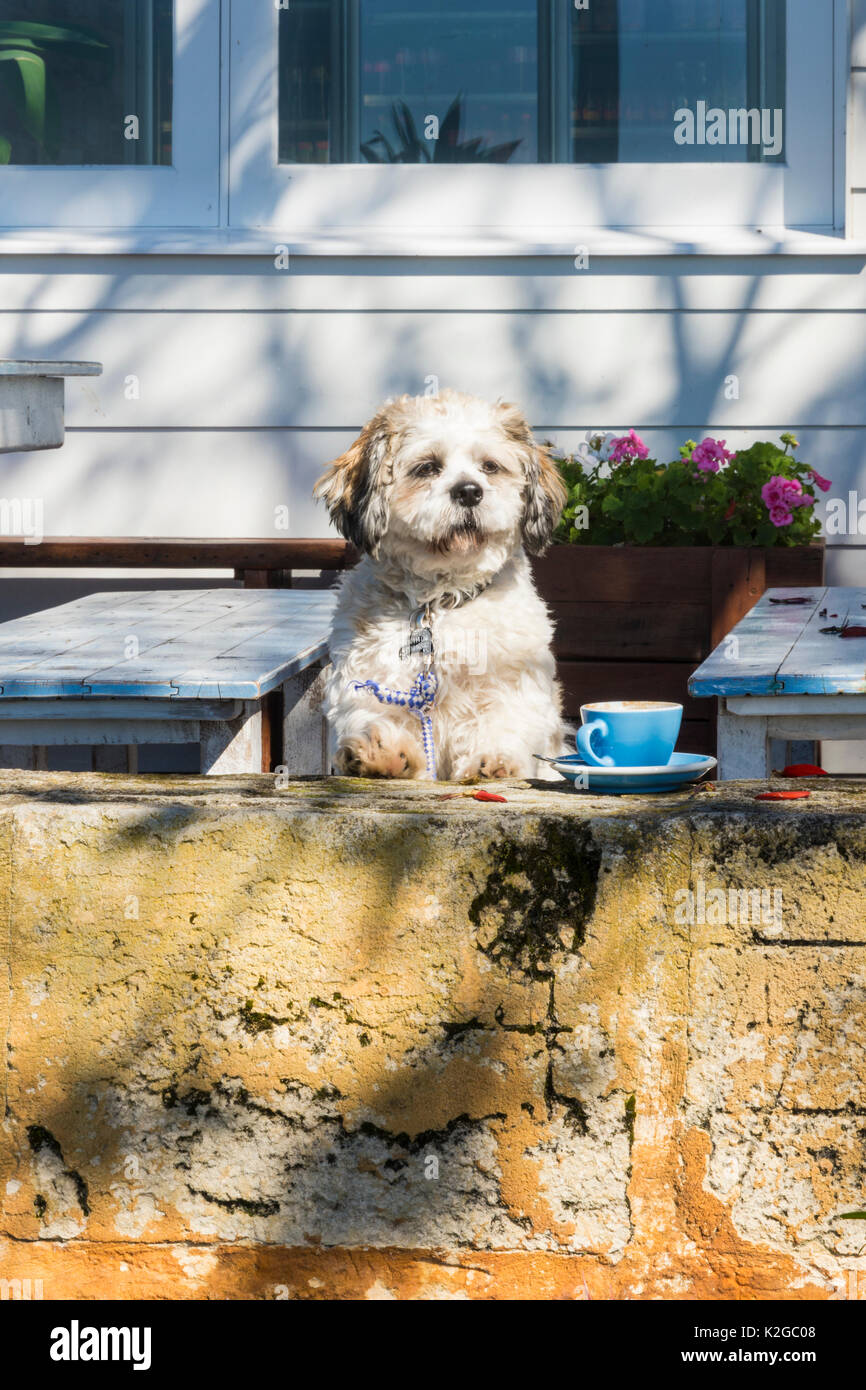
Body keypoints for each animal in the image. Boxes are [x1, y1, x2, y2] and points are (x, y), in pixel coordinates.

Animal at [315, 389, 572, 783]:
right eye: (427, 468)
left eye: (490, 467)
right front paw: (382, 753)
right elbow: (371, 714)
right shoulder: (364, 680)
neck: (440, 603)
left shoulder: (514, 683)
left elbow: (505, 721)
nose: (468, 491)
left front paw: (496, 759)